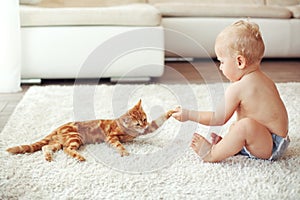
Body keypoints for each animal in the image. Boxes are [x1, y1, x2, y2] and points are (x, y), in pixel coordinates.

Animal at [6, 99, 176, 162]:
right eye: (138, 124)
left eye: (145, 120)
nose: (144, 126)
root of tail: (59, 127)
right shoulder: (111, 137)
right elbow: (119, 145)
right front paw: (124, 152)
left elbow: (159, 121)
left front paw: (172, 111)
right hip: (74, 137)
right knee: (67, 149)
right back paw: (79, 156)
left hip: (57, 143)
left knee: (45, 147)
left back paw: (48, 156)